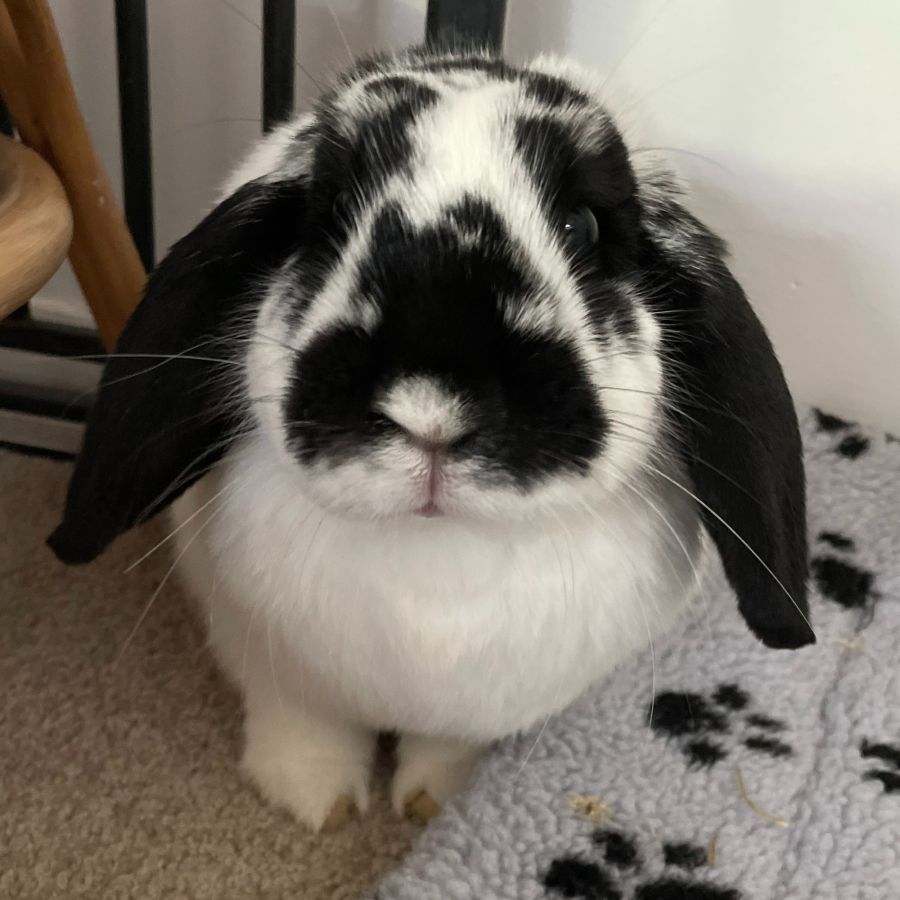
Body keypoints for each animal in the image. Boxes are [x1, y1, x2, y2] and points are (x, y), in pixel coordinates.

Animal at [48, 47, 815, 831]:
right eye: (330, 216)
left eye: (583, 226)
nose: (431, 408)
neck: (439, 553)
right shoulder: (272, 666)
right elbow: (305, 725)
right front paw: (316, 802)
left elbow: (447, 745)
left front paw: (428, 801)